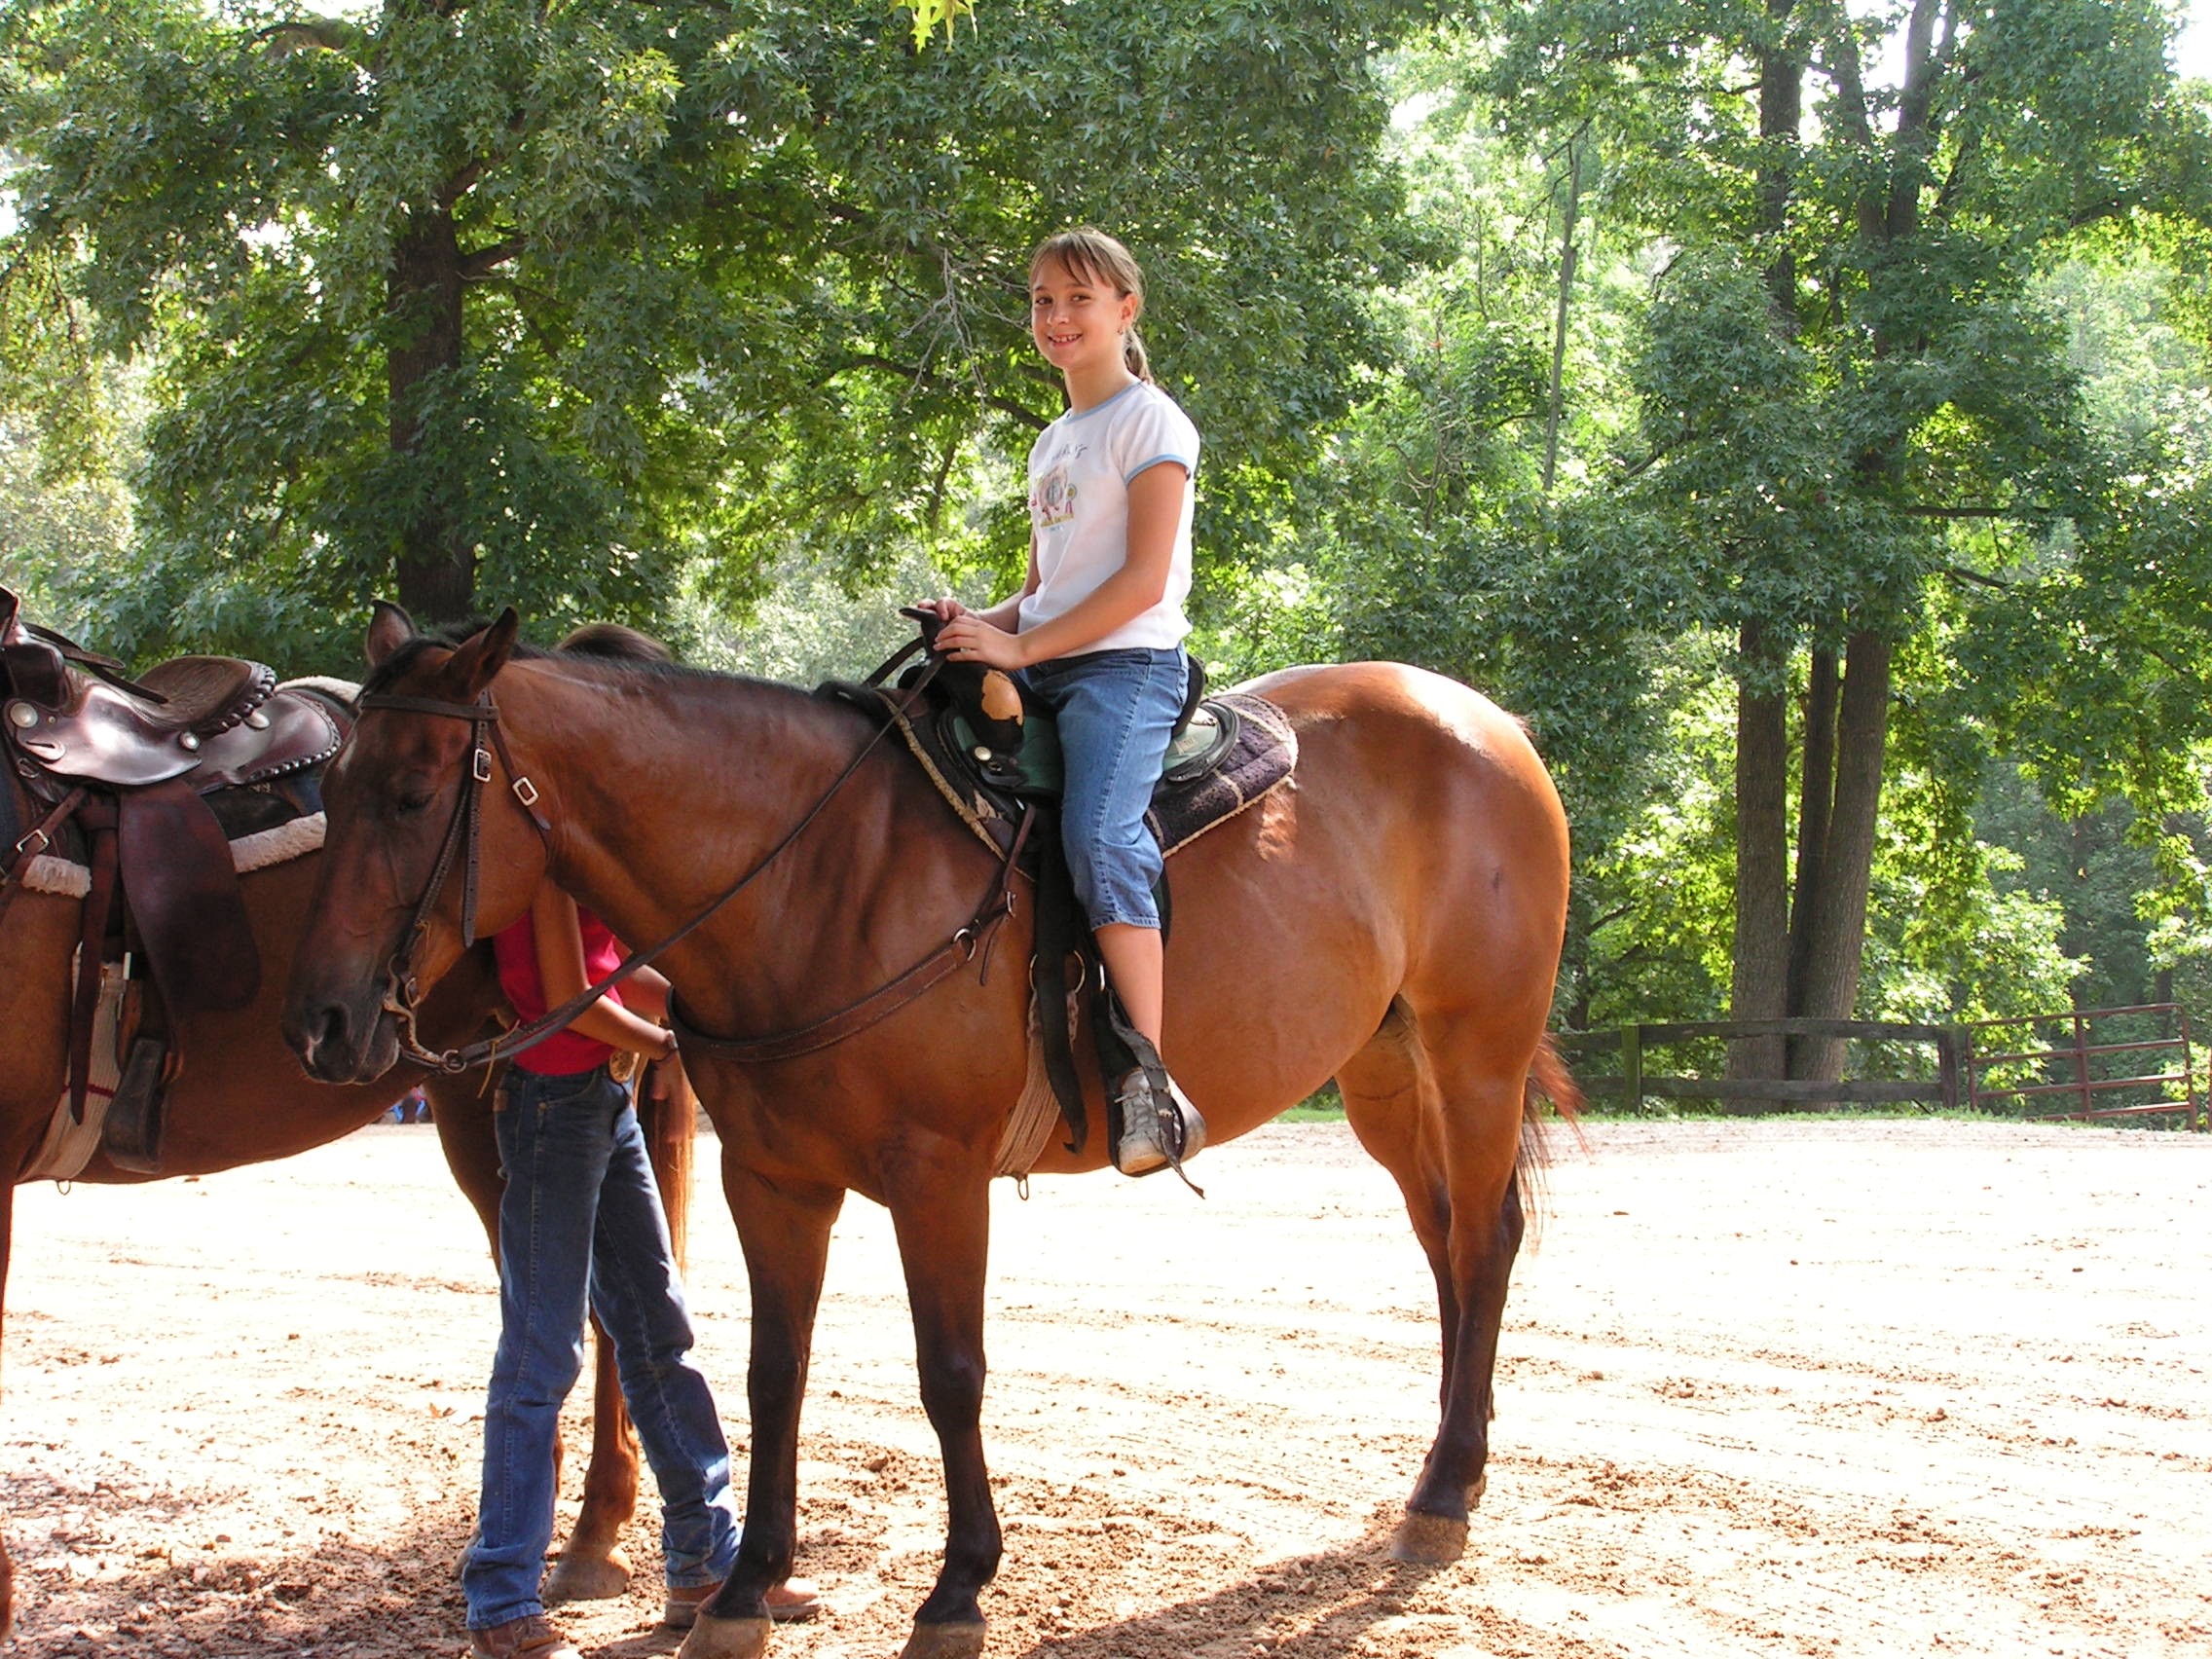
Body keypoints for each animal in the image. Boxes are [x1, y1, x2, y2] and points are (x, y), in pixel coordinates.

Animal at [283, 606, 1577, 1659]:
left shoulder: (937, 1177)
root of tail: (1488, 724)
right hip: (1385, 1070)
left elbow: (950, 1373)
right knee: (1448, 1245)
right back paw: (1445, 1470)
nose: (320, 1022)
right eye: (330, 795)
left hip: (1472, 1055)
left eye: (411, 795)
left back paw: (1446, 1492)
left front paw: (957, 1591)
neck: (814, 880)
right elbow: (774, 1372)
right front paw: (744, 1592)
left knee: (1484, 1244)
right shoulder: (773, 1181)